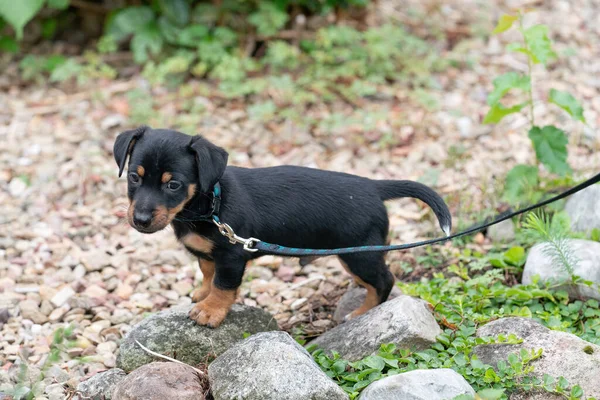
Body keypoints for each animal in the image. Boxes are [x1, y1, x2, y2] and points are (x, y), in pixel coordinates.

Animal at [113, 126, 450, 328]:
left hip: (359, 255)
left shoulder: (232, 256)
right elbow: (207, 272)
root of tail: (373, 187)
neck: (208, 203)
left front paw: (211, 311)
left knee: (384, 280)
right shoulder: (210, 254)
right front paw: (202, 294)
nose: (140, 220)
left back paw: (362, 313)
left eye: (173, 184)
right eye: (134, 177)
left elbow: (223, 286)